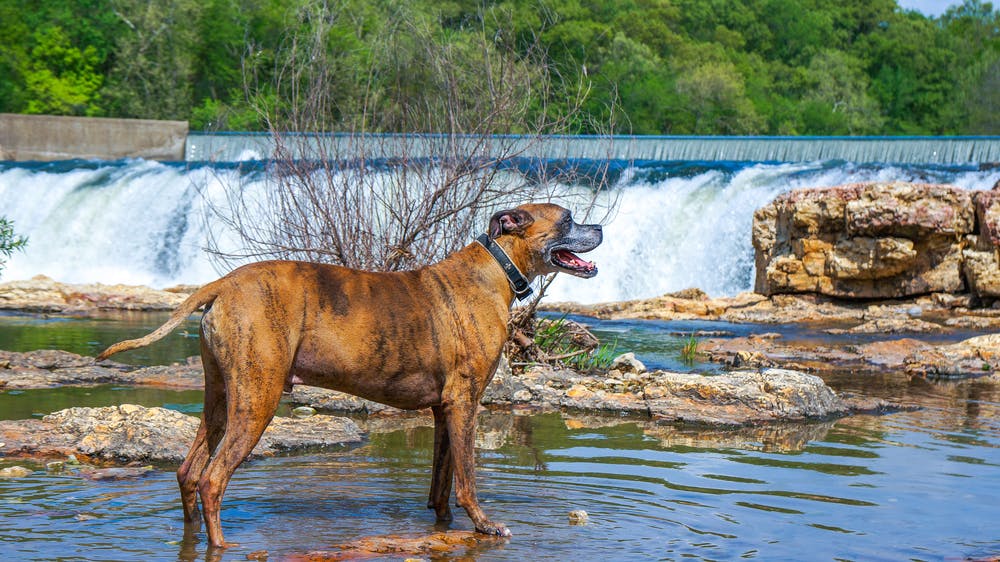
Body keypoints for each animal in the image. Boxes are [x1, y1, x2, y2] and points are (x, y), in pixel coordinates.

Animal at [97, 200, 600, 544]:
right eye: (568, 219)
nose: (598, 226)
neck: (496, 268)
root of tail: (223, 283)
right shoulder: (464, 404)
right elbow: (468, 478)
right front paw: (483, 524)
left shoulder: (444, 410)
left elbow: (441, 480)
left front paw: (443, 522)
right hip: (256, 401)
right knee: (211, 479)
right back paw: (220, 545)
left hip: (220, 397)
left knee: (188, 472)